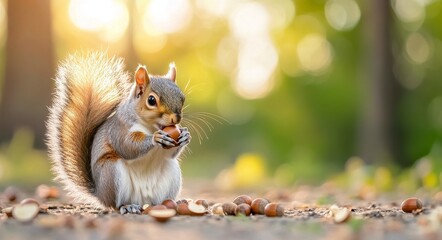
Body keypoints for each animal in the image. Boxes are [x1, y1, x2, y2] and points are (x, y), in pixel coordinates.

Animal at [45, 51, 191, 214]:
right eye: (151, 100)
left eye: (182, 98)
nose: (176, 118)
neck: (150, 127)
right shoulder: (119, 130)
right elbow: (127, 146)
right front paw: (155, 138)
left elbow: (170, 154)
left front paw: (185, 135)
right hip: (111, 173)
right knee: (114, 204)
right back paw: (127, 206)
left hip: (172, 174)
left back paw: (174, 202)